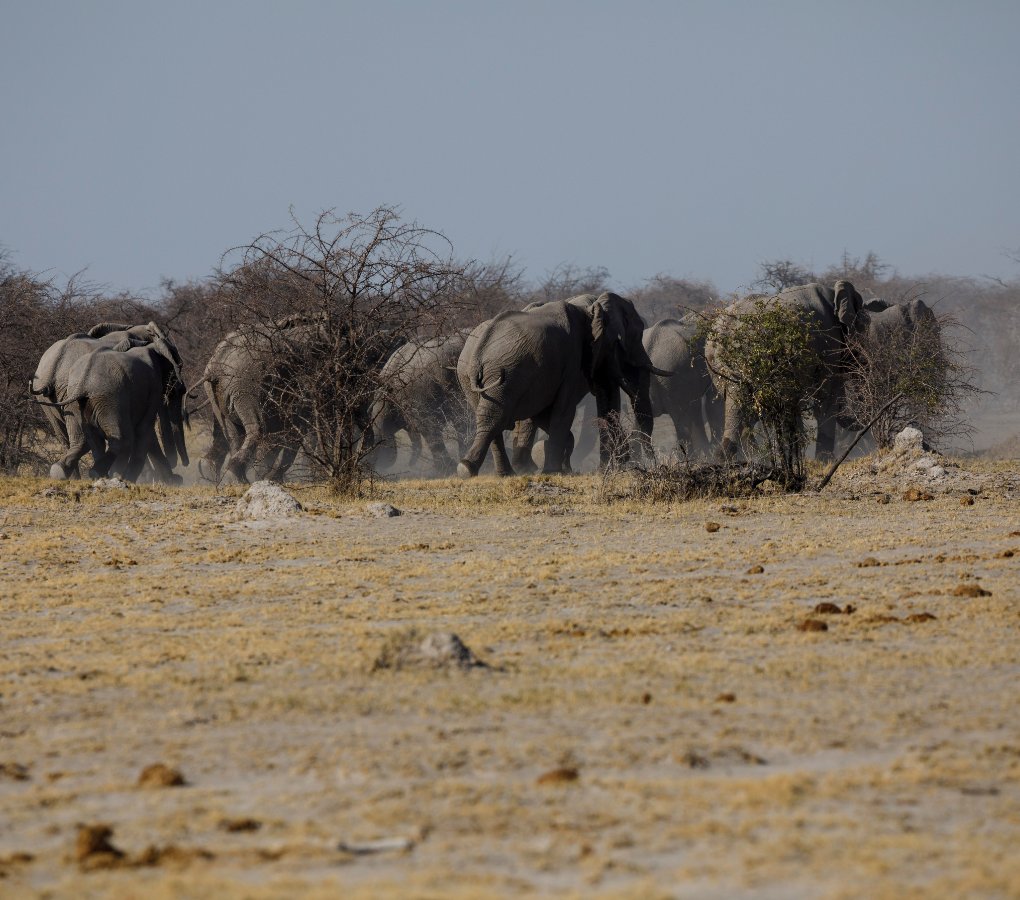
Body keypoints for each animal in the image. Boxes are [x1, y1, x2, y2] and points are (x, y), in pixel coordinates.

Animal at [456, 291, 669, 478]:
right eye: (636, 335)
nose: (652, 463)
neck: (590, 306)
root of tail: (478, 351)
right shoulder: (573, 358)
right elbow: (563, 410)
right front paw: (553, 471)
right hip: (506, 373)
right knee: (496, 417)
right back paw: (473, 469)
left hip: (479, 377)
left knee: (490, 417)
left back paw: (487, 471)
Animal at [704, 280, 866, 461]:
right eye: (862, 327)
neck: (833, 292)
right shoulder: (829, 344)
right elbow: (826, 401)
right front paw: (824, 461)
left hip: (719, 367)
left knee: (743, 406)